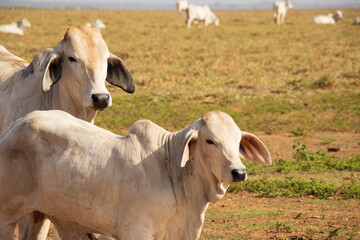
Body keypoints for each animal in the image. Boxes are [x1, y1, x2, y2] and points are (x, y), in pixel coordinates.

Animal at [0, 110, 270, 240]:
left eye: (238, 140)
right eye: (210, 141)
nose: (239, 172)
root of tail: (15, 125)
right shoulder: (136, 231)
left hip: (40, 216)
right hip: (6, 217)